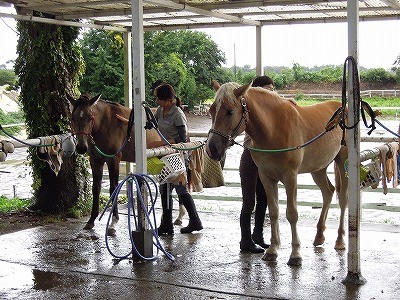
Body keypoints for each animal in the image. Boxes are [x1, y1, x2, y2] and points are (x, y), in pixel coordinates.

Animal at [206, 81, 346, 266]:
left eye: (230, 111)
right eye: (211, 110)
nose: (212, 149)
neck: (273, 129)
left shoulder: (290, 177)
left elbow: (292, 214)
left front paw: (295, 255)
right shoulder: (267, 177)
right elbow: (273, 211)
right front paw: (272, 250)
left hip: (344, 164)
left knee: (343, 199)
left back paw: (340, 241)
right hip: (318, 169)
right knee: (328, 192)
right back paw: (319, 236)